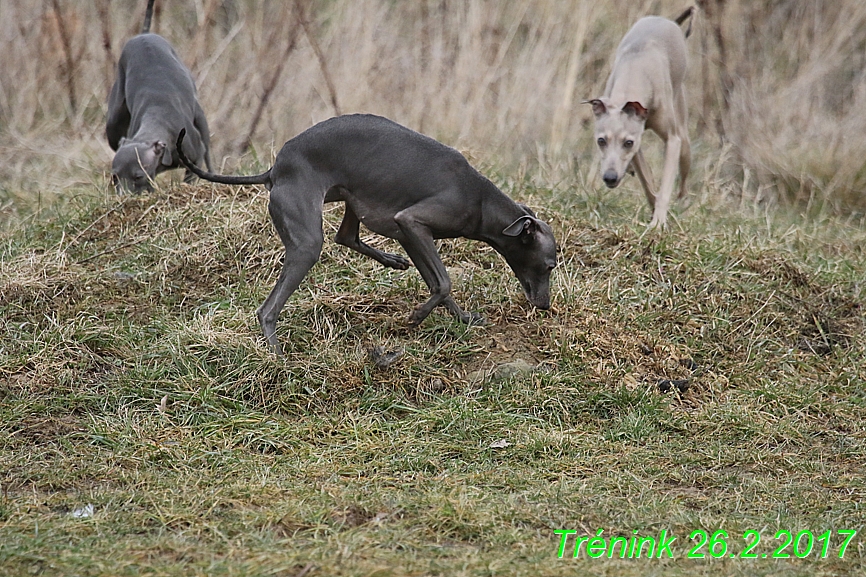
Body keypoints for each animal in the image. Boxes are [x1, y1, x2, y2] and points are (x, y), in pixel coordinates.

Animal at [106, 0, 211, 194]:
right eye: (114, 176)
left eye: (138, 176)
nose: (123, 196)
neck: (158, 117)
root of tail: (143, 35)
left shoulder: (195, 155)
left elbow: (192, 174)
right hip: (113, 124)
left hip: (201, 119)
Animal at [174, 114, 560, 354]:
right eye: (550, 265)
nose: (544, 306)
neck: (479, 198)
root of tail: (275, 169)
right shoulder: (413, 221)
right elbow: (445, 281)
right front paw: (415, 317)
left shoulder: (409, 232)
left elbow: (437, 283)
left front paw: (462, 318)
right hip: (307, 242)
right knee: (269, 307)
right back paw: (276, 353)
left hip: (349, 199)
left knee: (346, 236)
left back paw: (391, 261)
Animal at [584, 7, 692, 227]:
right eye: (601, 140)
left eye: (628, 142)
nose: (609, 177)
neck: (636, 68)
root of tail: (668, 20)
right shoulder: (637, 146)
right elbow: (647, 180)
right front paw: (653, 207)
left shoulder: (671, 140)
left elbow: (664, 187)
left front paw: (658, 222)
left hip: (683, 137)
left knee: (684, 180)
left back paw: (683, 204)